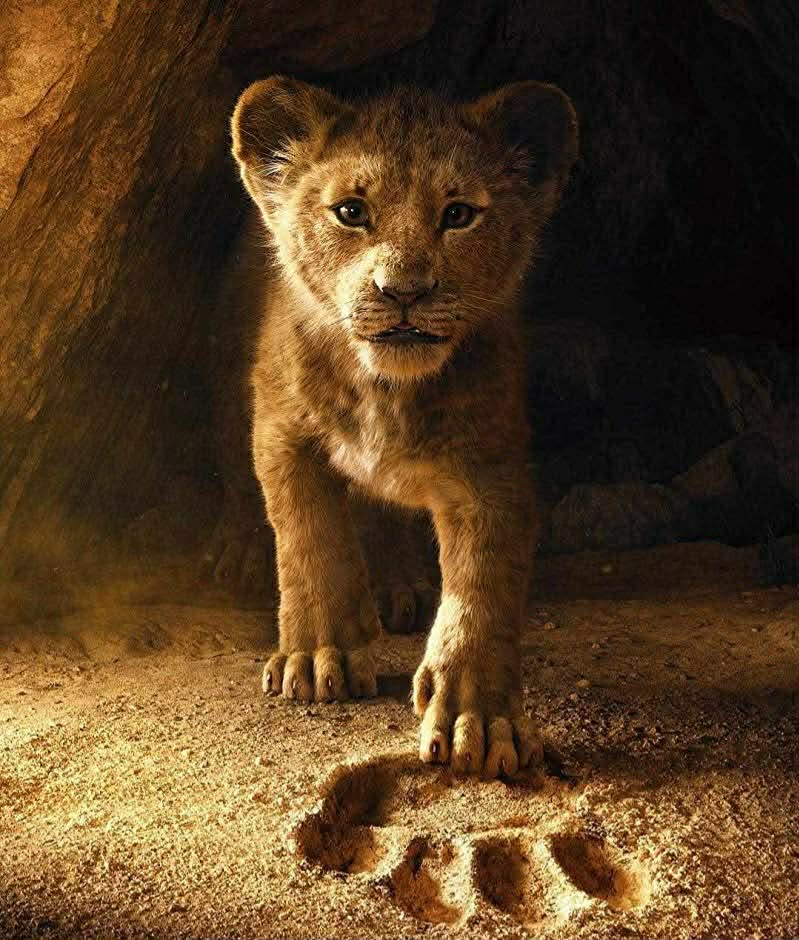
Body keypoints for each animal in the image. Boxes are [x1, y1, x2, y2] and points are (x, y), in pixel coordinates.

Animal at [228, 76, 578, 776]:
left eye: (459, 214)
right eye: (351, 211)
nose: (404, 291)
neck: (385, 389)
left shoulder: (491, 467)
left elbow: (483, 587)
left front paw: (480, 718)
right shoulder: (281, 431)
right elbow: (310, 539)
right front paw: (319, 656)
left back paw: (399, 587)